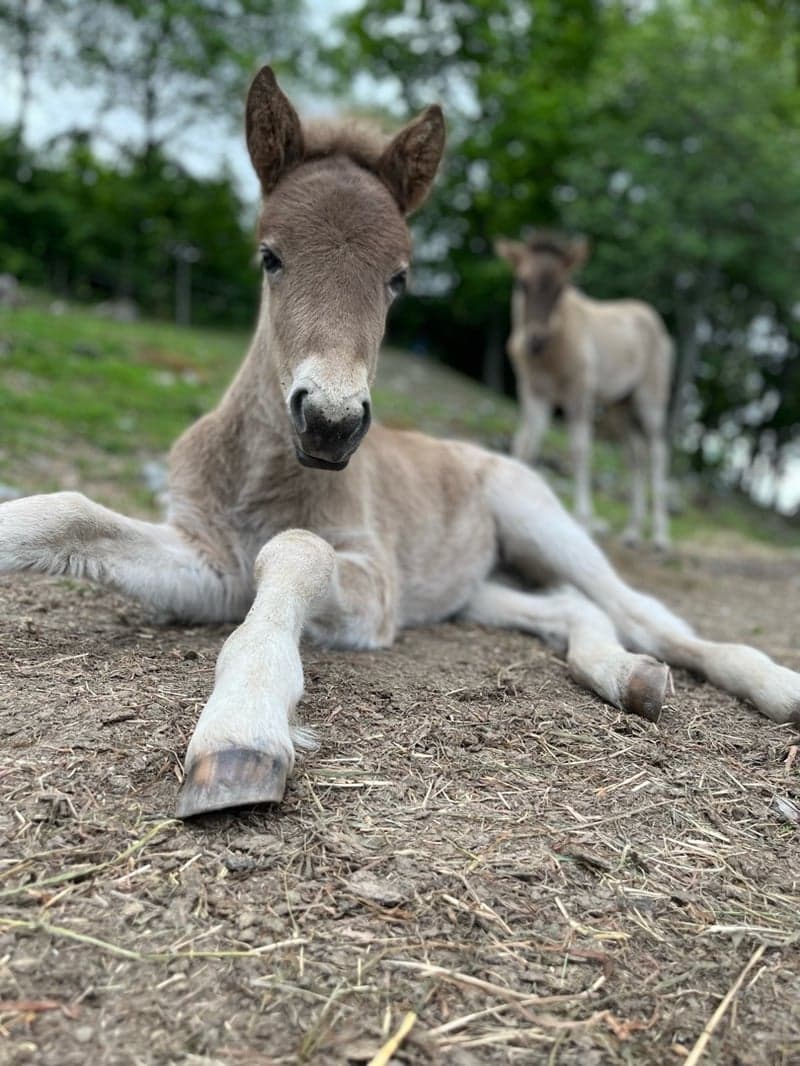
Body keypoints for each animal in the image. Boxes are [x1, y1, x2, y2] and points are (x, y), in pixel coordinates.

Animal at [499, 234, 674, 550]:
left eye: (561, 287)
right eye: (521, 282)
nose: (535, 340)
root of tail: (655, 320)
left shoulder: (578, 396)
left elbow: (579, 450)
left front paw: (583, 519)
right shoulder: (533, 392)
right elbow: (526, 440)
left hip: (650, 401)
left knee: (657, 454)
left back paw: (660, 537)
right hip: (620, 407)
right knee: (636, 457)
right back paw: (632, 532)